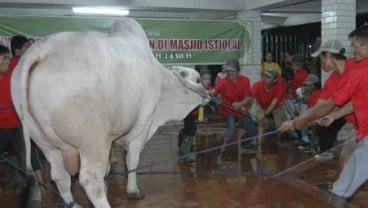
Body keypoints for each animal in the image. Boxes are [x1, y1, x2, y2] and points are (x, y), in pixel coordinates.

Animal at [10, 18, 207, 208]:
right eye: (198, 79)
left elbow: (109, 167)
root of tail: (42, 50)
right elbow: (132, 160)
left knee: (60, 176)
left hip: (44, 143)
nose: (208, 95)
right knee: (90, 180)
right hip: (92, 141)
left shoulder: (112, 137)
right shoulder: (142, 125)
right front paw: (133, 190)